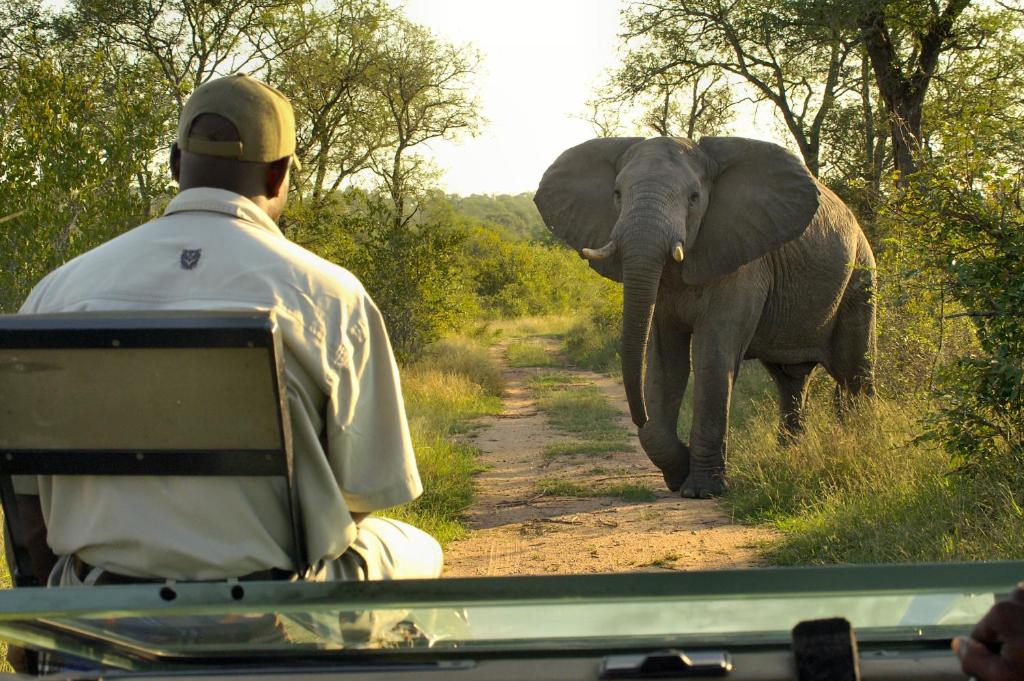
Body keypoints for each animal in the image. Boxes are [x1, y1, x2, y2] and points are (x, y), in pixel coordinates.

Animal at [532, 137, 876, 499]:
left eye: (694, 198)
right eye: (617, 194)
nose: (639, 417)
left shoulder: (742, 261)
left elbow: (712, 355)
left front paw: (701, 491)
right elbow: (665, 361)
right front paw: (678, 472)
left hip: (860, 277)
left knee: (854, 371)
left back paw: (864, 442)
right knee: (791, 379)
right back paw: (791, 456)